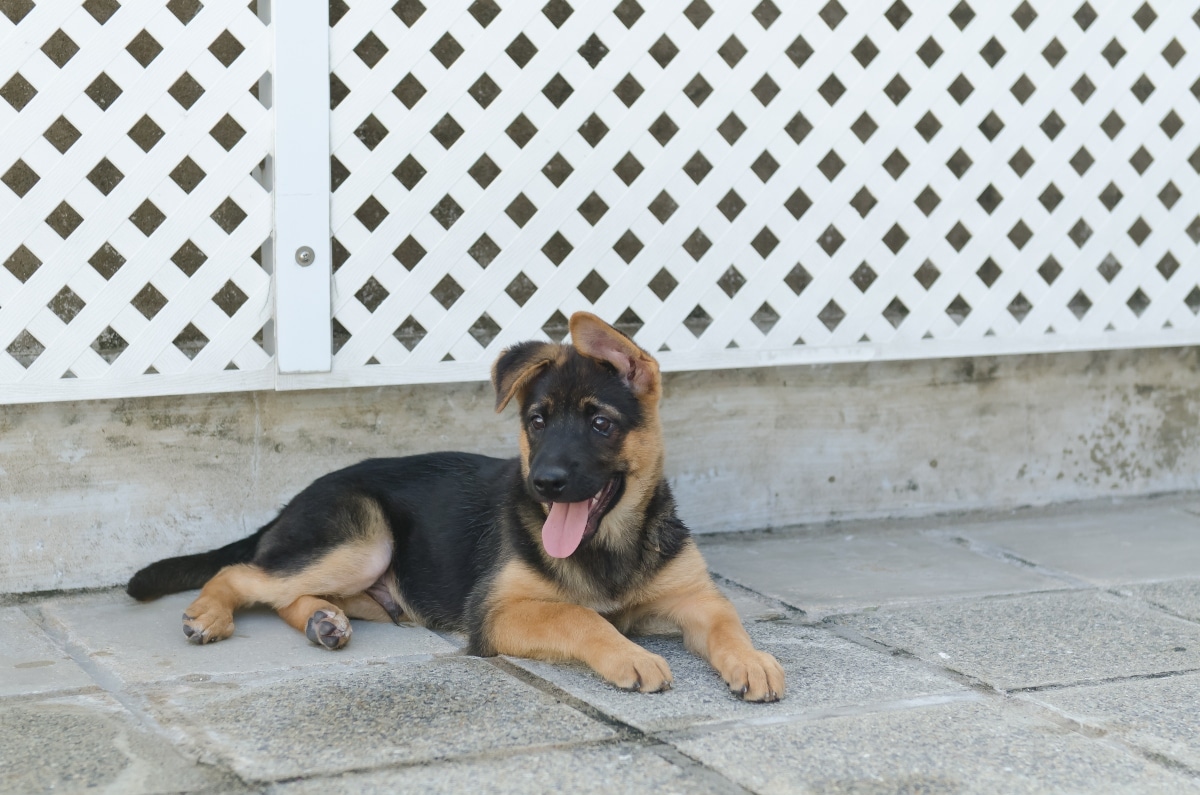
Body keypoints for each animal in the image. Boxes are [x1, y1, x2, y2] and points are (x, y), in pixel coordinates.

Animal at [127, 312, 785, 701]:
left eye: (600, 423)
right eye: (538, 422)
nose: (543, 483)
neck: (610, 542)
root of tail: (297, 498)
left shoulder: (693, 597)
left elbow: (726, 621)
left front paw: (752, 659)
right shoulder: (495, 613)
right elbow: (580, 617)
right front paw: (632, 656)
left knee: (289, 591)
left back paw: (324, 621)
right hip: (364, 540)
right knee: (243, 573)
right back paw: (211, 615)